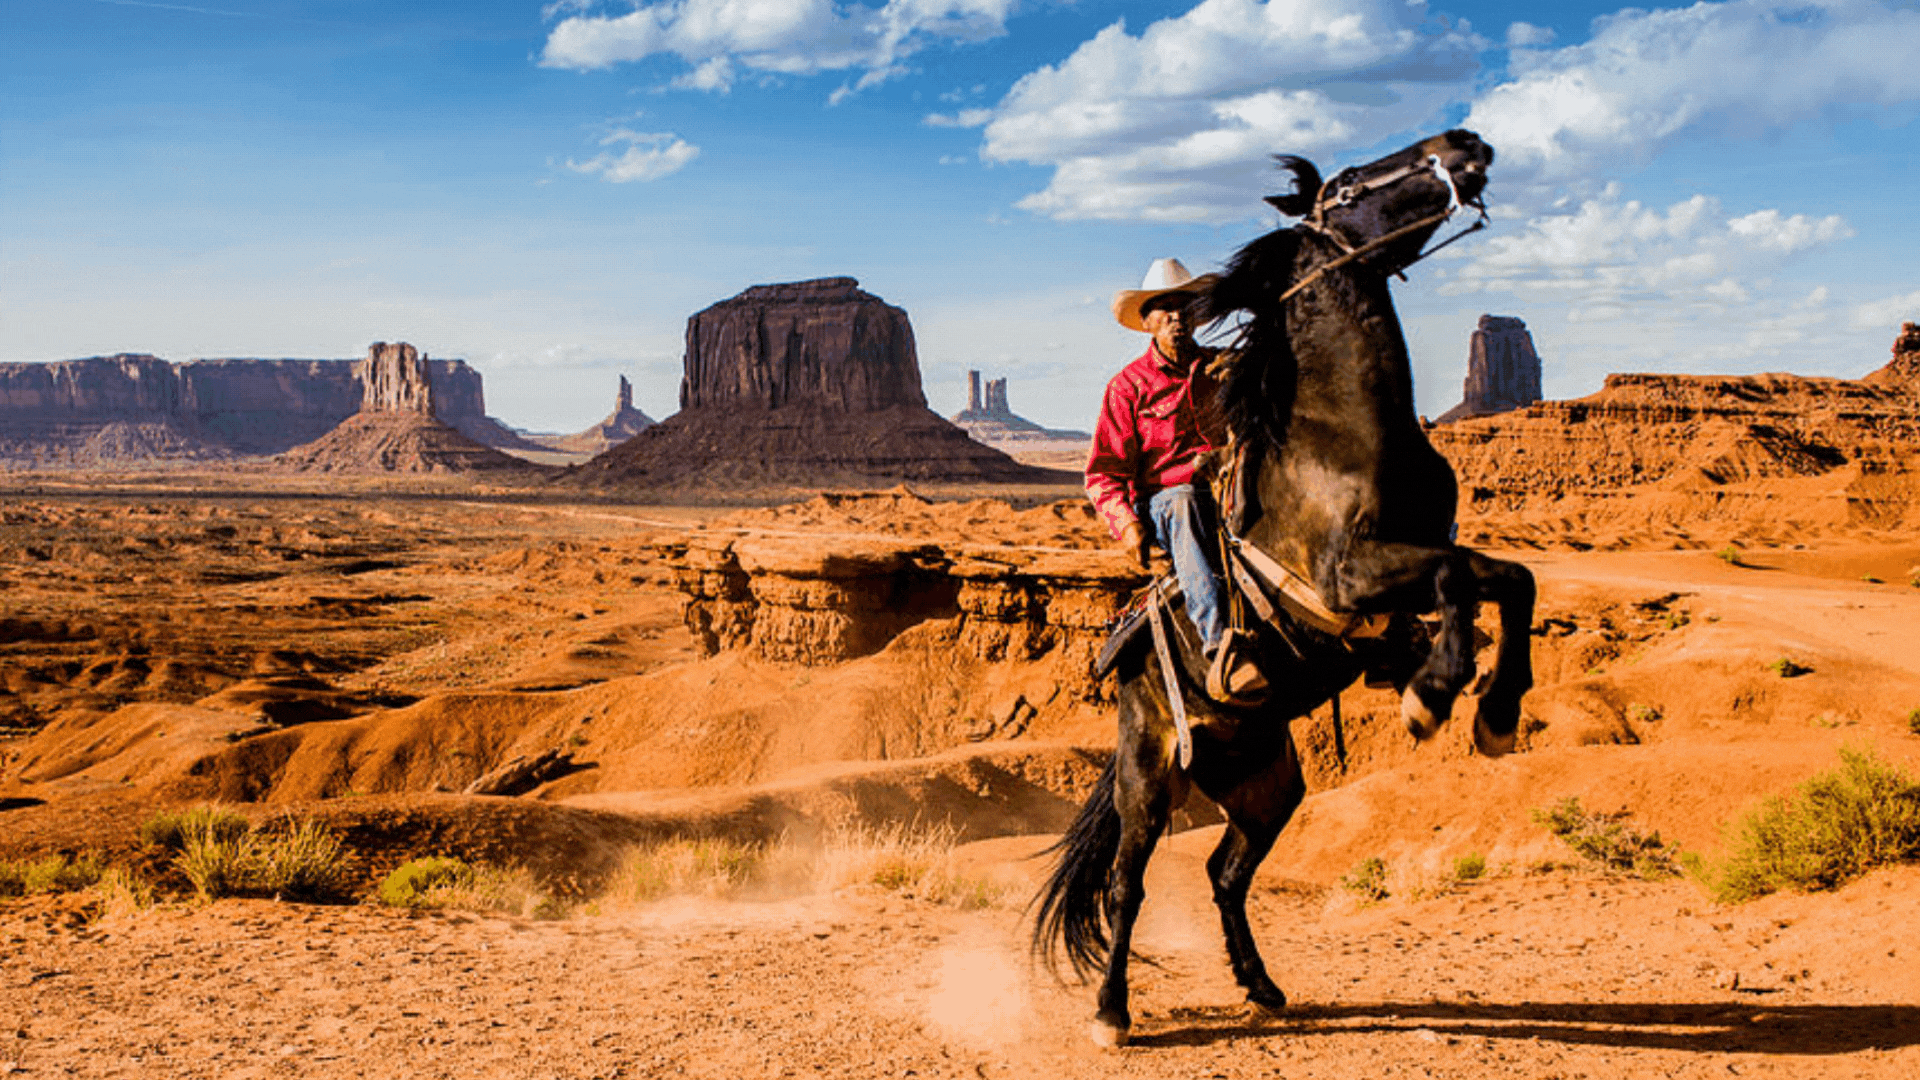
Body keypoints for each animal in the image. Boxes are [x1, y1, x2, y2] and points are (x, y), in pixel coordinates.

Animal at [1029, 125, 1536, 1045]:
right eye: (1349, 181)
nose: (1465, 140)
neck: (1339, 431)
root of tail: (1128, 671)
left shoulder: (1411, 567)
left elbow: (1508, 579)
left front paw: (1493, 708)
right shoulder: (1346, 577)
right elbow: (1461, 578)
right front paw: (1434, 693)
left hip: (1266, 782)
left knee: (1226, 871)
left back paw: (1259, 984)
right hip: (1149, 775)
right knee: (1127, 882)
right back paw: (1112, 1011)